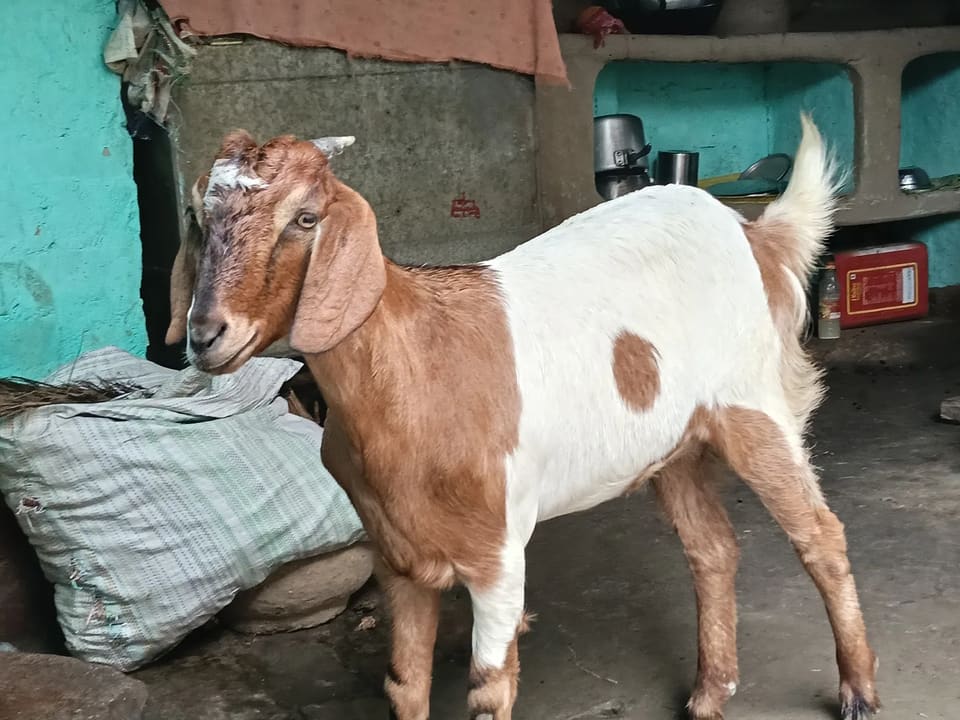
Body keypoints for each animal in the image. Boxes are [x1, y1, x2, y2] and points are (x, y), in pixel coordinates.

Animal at [165, 116, 878, 720]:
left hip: (753, 405)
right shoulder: (397, 556)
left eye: (305, 217)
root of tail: (755, 235)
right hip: (673, 445)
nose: (205, 335)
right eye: (199, 219)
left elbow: (489, 687)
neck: (413, 365)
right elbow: (405, 684)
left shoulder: (498, 553)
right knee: (713, 549)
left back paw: (858, 690)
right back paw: (708, 695)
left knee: (821, 535)